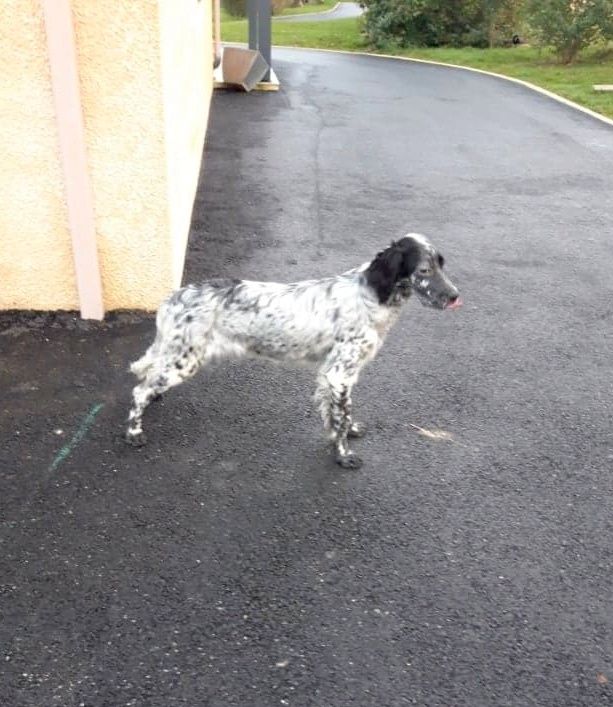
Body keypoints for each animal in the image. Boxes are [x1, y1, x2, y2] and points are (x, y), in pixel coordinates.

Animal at [126, 233, 461, 469]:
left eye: (442, 265)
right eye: (424, 269)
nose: (455, 296)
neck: (371, 295)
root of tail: (172, 299)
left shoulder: (332, 373)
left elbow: (337, 414)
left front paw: (346, 432)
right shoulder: (340, 373)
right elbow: (340, 417)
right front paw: (344, 455)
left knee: (148, 376)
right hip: (186, 359)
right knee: (139, 391)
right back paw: (134, 433)